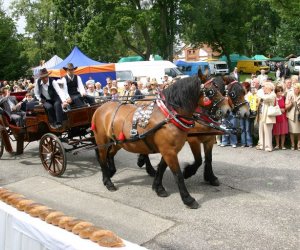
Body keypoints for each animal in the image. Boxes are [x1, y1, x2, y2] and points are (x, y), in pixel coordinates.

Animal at [92, 71, 231, 208]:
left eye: (222, 89)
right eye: (211, 91)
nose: (227, 110)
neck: (169, 116)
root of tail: (100, 107)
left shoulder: (169, 150)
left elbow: (162, 167)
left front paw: (158, 187)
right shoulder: (172, 150)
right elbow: (178, 174)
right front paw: (188, 198)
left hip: (118, 142)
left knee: (110, 154)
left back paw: (112, 171)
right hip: (102, 141)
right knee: (102, 158)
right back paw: (108, 181)